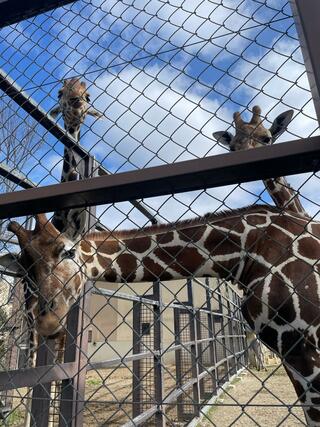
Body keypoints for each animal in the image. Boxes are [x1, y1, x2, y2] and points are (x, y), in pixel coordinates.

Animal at [1, 206, 320, 426]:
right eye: (25, 269)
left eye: (67, 252)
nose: (47, 321)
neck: (245, 253)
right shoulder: (289, 346)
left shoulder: (304, 342)